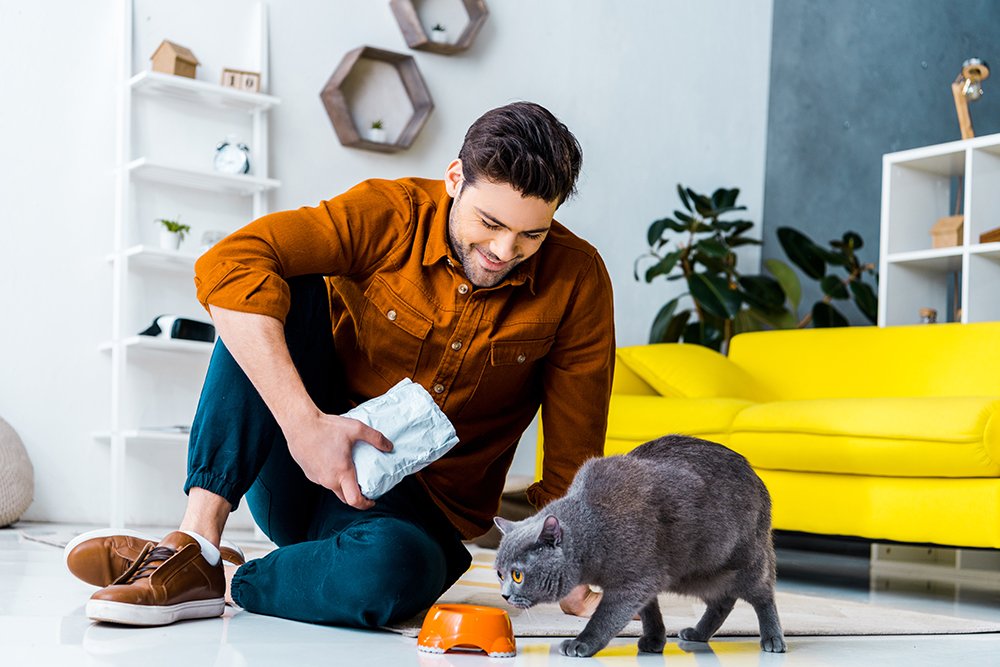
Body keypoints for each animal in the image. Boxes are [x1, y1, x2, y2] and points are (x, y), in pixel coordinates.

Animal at [496, 434, 784, 656]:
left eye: (517, 575)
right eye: (499, 574)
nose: (505, 595)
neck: (596, 529)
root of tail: (755, 475)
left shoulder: (635, 580)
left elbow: (606, 616)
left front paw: (582, 643)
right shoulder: (647, 579)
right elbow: (649, 611)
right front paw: (655, 640)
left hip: (743, 561)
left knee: (763, 596)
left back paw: (773, 639)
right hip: (700, 575)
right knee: (723, 602)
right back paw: (698, 634)